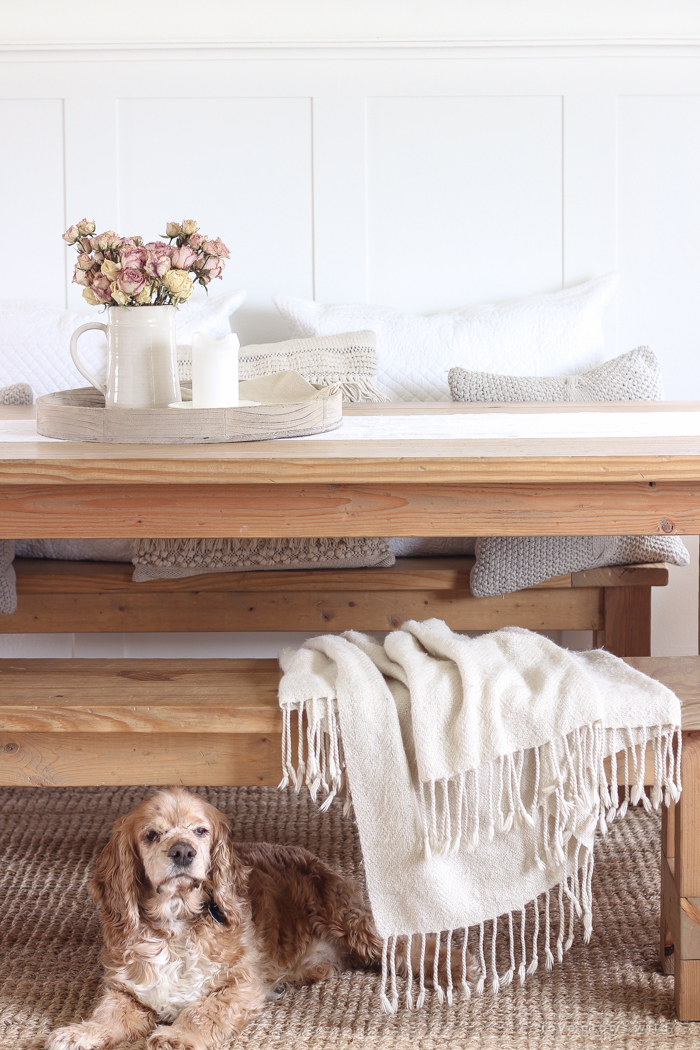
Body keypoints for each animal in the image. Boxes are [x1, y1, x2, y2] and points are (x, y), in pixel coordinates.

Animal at [46, 789, 386, 1050]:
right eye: (151, 835)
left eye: (200, 831)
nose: (183, 851)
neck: (176, 923)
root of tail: (318, 860)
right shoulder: (129, 990)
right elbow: (107, 1013)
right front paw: (78, 1032)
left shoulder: (240, 985)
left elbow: (203, 1010)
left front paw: (176, 1037)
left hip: (348, 922)